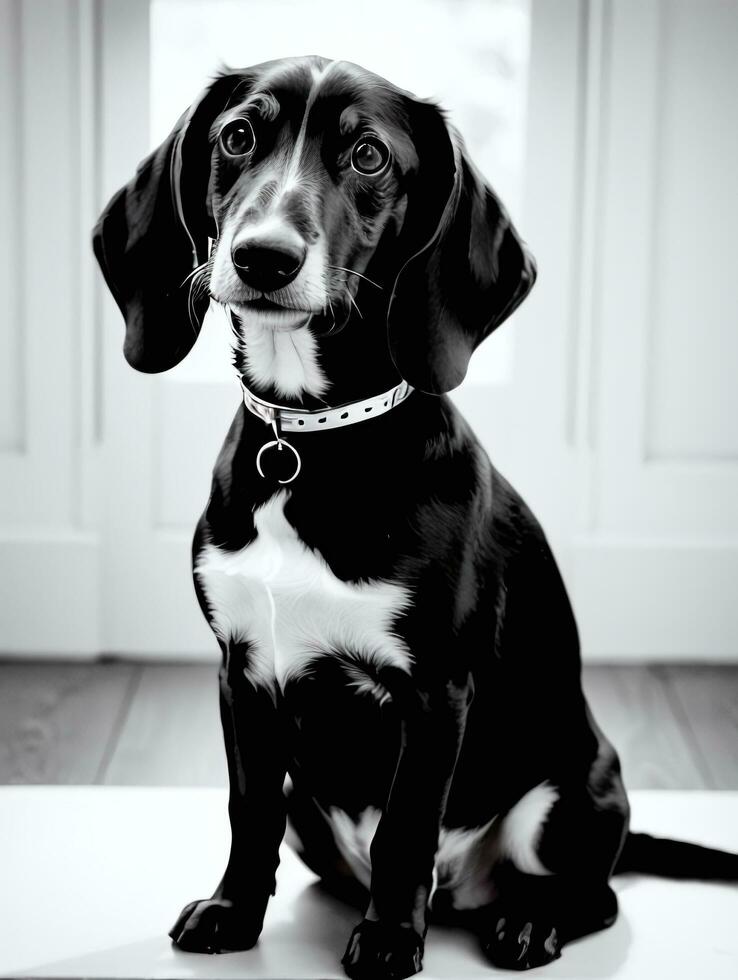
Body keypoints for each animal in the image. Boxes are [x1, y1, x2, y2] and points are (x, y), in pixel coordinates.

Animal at [93, 57, 736, 976]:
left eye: (369, 155)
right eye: (238, 135)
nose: (262, 257)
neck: (311, 442)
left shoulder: (434, 694)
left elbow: (404, 830)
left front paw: (392, 939)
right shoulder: (242, 673)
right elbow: (247, 811)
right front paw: (233, 912)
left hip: (566, 794)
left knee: (595, 893)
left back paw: (528, 920)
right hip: (310, 805)